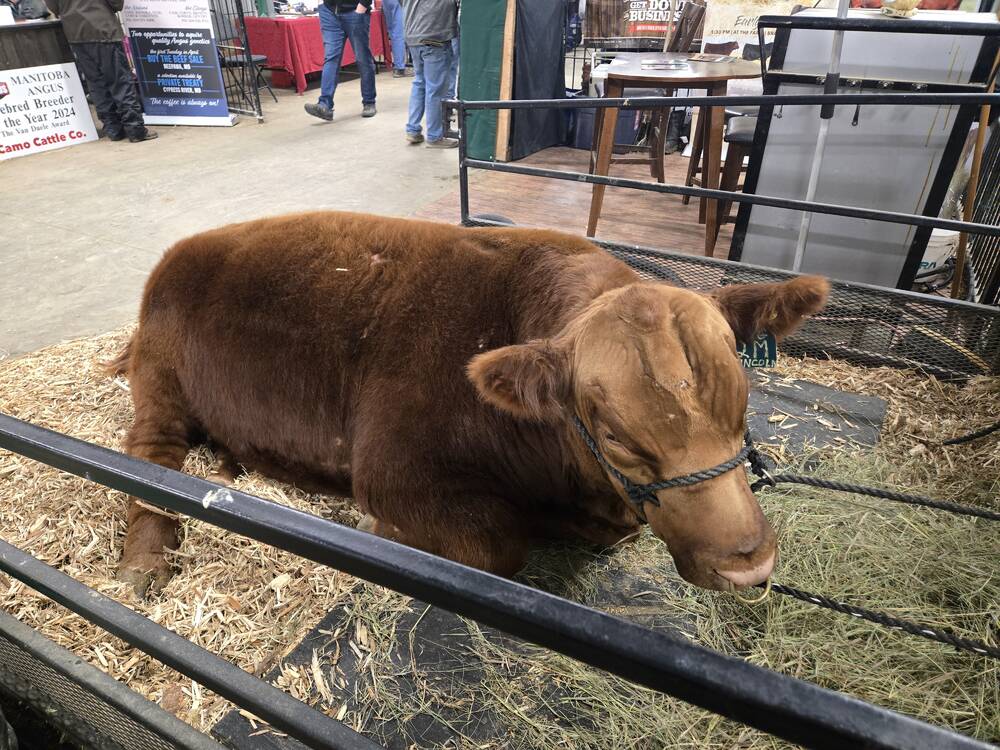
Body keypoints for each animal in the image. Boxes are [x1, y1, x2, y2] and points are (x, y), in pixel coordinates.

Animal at [108, 212, 829, 596]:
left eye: (744, 404)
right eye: (618, 437)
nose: (750, 565)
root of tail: (183, 249)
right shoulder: (395, 472)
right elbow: (495, 549)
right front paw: (382, 534)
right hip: (162, 382)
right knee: (148, 454)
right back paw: (145, 559)